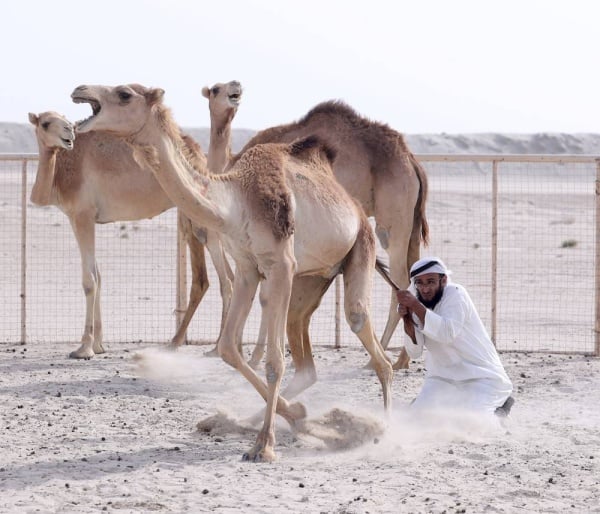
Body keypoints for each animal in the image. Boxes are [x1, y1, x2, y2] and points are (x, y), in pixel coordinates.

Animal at [29, 109, 233, 356]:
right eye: (46, 123)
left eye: (65, 120)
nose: (69, 131)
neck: (61, 170)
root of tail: (197, 154)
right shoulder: (79, 217)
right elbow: (98, 275)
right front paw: (99, 345)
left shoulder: (82, 214)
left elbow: (89, 280)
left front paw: (84, 348)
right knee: (227, 277)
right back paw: (215, 346)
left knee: (216, 279)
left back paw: (198, 345)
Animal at [71, 84, 394, 460]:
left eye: (124, 94)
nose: (79, 90)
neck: (234, 202)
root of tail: (355, 208)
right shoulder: (248, 268)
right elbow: (227, 347)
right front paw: (290, 417)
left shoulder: (281, 265)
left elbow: (273, 362)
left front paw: (264, 446)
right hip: (315, 276)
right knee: (305, 350)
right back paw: (282, 419)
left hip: (359, 245)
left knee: (367, 334)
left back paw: (386, 430)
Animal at [227, 100, 428, 368]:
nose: (234, 95)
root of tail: (413, 162)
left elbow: (266, 295)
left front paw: (259, 358)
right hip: (411, 222)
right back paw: (401, 359)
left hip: (393, 218)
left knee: (400, 280)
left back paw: (381, 359)